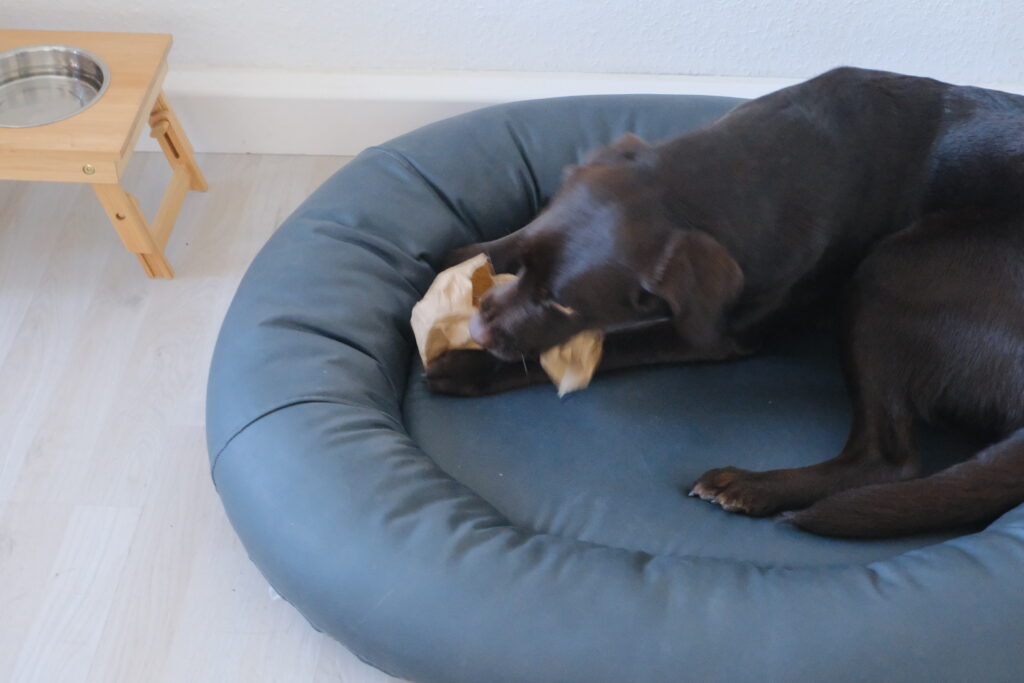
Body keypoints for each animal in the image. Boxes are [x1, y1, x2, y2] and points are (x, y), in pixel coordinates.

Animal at [425, 66, 1024, 539]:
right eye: (525, 266)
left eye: (564, 307)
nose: (478, 332)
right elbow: (503, 244)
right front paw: (459, 252)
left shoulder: (716, 333)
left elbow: (617, 344)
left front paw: (470, 366)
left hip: (891, 270)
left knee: (888, 460)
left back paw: (753, 487)